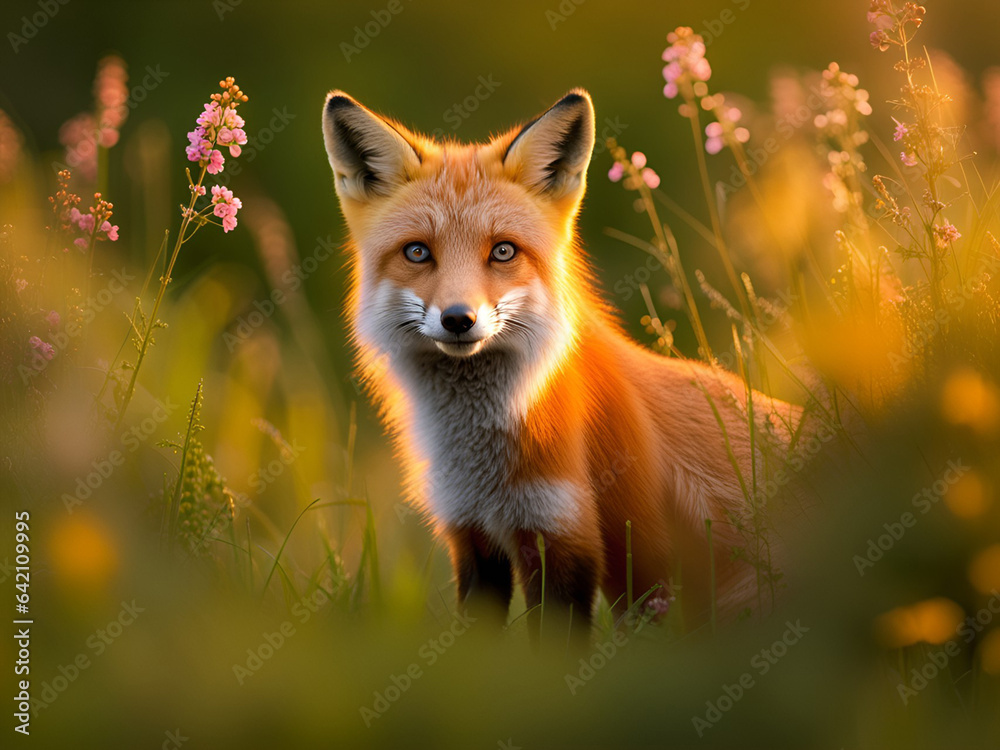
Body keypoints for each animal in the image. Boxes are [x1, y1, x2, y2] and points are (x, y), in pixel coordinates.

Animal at [321, 88, 808, 638]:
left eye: (503, 251)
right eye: (418, 252)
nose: (459, 319)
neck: (482, 462)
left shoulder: (566, 537)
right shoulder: (472, 536)